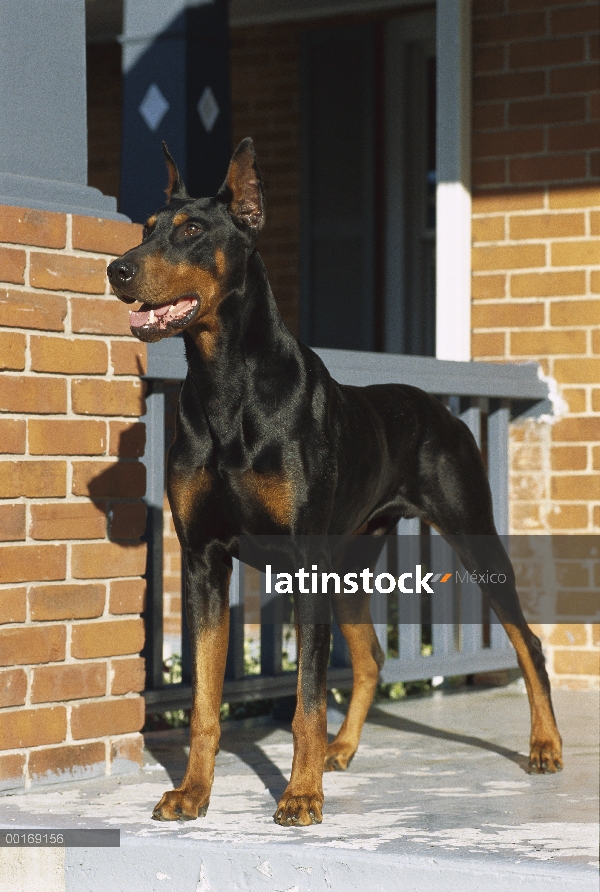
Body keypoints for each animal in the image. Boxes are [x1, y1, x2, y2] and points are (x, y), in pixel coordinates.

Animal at [108, 139, 564, 828]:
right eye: (145, 229)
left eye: (191, 231)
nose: (117, 270)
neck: (227, 383)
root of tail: (444, 411)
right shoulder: (203, 559)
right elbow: (206, 699)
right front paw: (192, 792)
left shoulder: (303, 558)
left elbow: (307, 700)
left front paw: (299, 795)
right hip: (348, 561)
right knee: (371, 655)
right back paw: (339, 751)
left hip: (470, 535)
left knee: (528, 641)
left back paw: (544, 745)